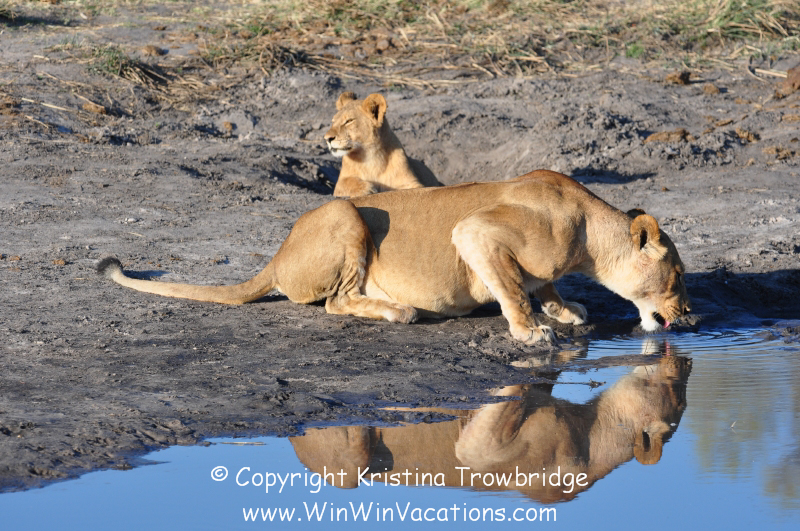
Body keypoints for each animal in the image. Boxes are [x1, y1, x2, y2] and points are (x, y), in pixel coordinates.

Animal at [97, 170, 690, 344]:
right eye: (679, 278)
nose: (690, 316)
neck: (588, 229)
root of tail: (279, 251)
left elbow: (541, 285)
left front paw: (563, 308)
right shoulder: (474, 232)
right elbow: (511, 288)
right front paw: (531, 330)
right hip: (347, 216)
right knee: (337, 302)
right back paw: (398, 310)